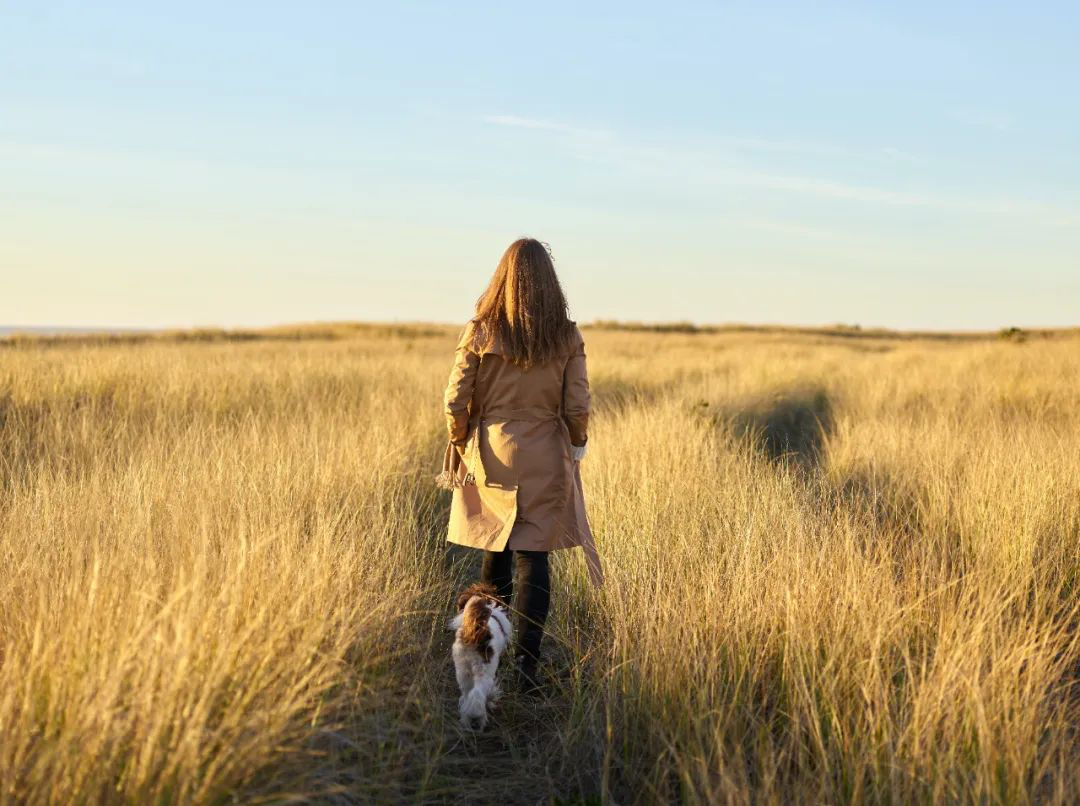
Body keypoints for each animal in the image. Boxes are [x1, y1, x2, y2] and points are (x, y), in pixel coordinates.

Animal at [447, 579, 514, 726]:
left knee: (466, 697)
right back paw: (481, 719)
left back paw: (466, 722)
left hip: (463, 672)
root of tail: (474, 634)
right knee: (478, 695)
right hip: (483, 671)